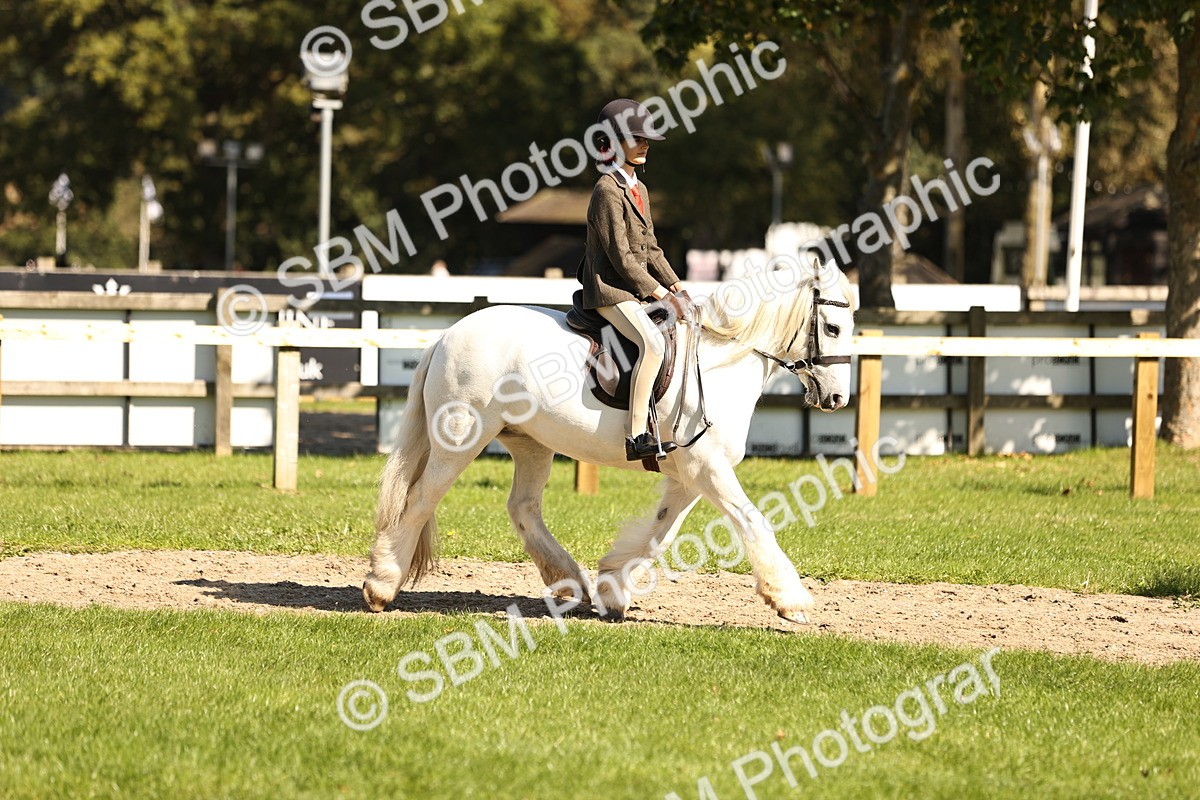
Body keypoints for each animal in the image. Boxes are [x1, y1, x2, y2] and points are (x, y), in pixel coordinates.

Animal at [363, 259, 856, 623]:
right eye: (833, 328)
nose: (837, 398)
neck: (719, 366)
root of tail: (448, 335)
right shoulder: (709, 469)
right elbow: (752, 521)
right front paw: (790, 599)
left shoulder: (689, 476)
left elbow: (659, 533)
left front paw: (612, 588)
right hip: (461, 438)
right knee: (420, 500)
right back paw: (382, 585)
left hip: (531, 444)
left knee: (523, 508)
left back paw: (570, 583)